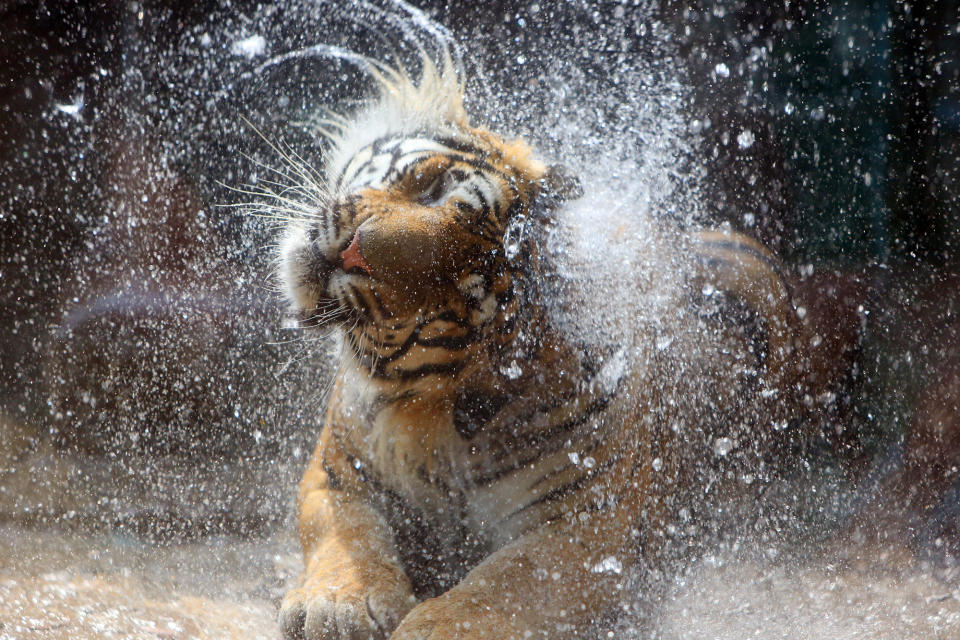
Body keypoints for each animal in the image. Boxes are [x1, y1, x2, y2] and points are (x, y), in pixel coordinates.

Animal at [274, 50, 808, 640]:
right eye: (434, 189)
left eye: (454, 295)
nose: (353, 255)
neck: (441, 424)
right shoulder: (338, 471)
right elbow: (346, 533)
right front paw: (339, 604)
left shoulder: (583, 529)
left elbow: (489, 592)